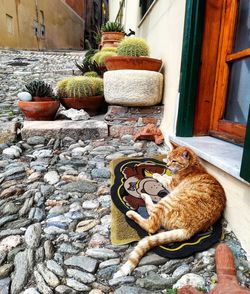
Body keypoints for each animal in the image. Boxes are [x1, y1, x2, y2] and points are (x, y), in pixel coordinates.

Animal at [114, 147, 227, 278]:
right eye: (169, 158)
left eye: (174, 161)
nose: (167, 165)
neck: (193, 166)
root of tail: (191, 229)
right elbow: (166, 176)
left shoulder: (171, 184)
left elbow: (163, 178)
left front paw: (157, 174)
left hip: (167, 200)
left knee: (151, 225)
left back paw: (138, 205)